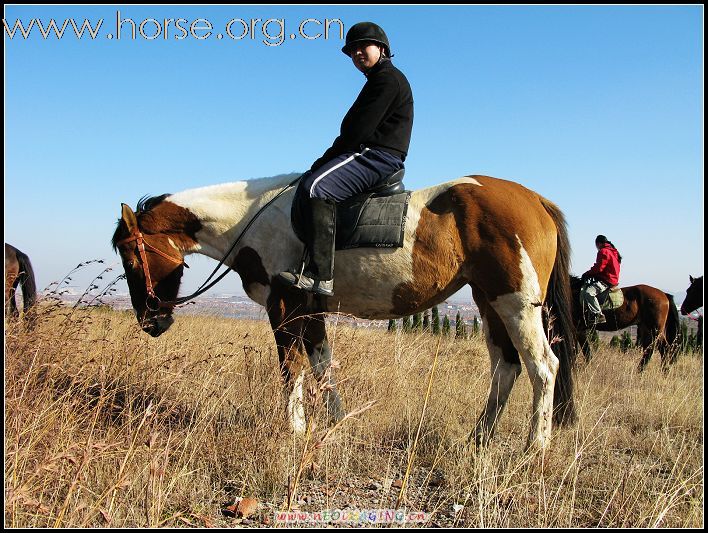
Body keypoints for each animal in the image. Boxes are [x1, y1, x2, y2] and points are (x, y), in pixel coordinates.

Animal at [110, 174, 576, 448]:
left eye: (131, 258)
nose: (151, 321)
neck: (253, 220)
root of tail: (536, 200)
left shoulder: (285, 308)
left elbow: (292, 369)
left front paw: (296, 431)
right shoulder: (311, 313)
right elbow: (323, 367)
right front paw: (335, 424)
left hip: (516, 304)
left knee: (543, 367)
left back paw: (535, 448)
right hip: (488, 301)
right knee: (505, 367)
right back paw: (477, 440)